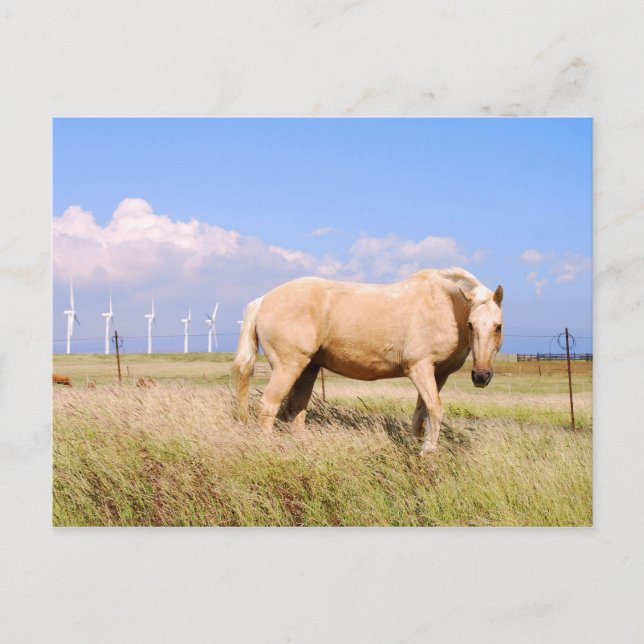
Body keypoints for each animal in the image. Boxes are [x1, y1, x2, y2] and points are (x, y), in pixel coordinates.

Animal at [232, 267, 503, 454]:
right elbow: (435, 410)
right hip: (288, 367)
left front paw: (417, 447)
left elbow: (422, 414)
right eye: (471, 324)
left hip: (308, 368)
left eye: (498, 326)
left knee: (295, 411)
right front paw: (428, 452)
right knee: (268, 406)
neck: (444, 305)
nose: (481, 376)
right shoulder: (420, 368)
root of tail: (262, 300)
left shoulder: (438, 375)